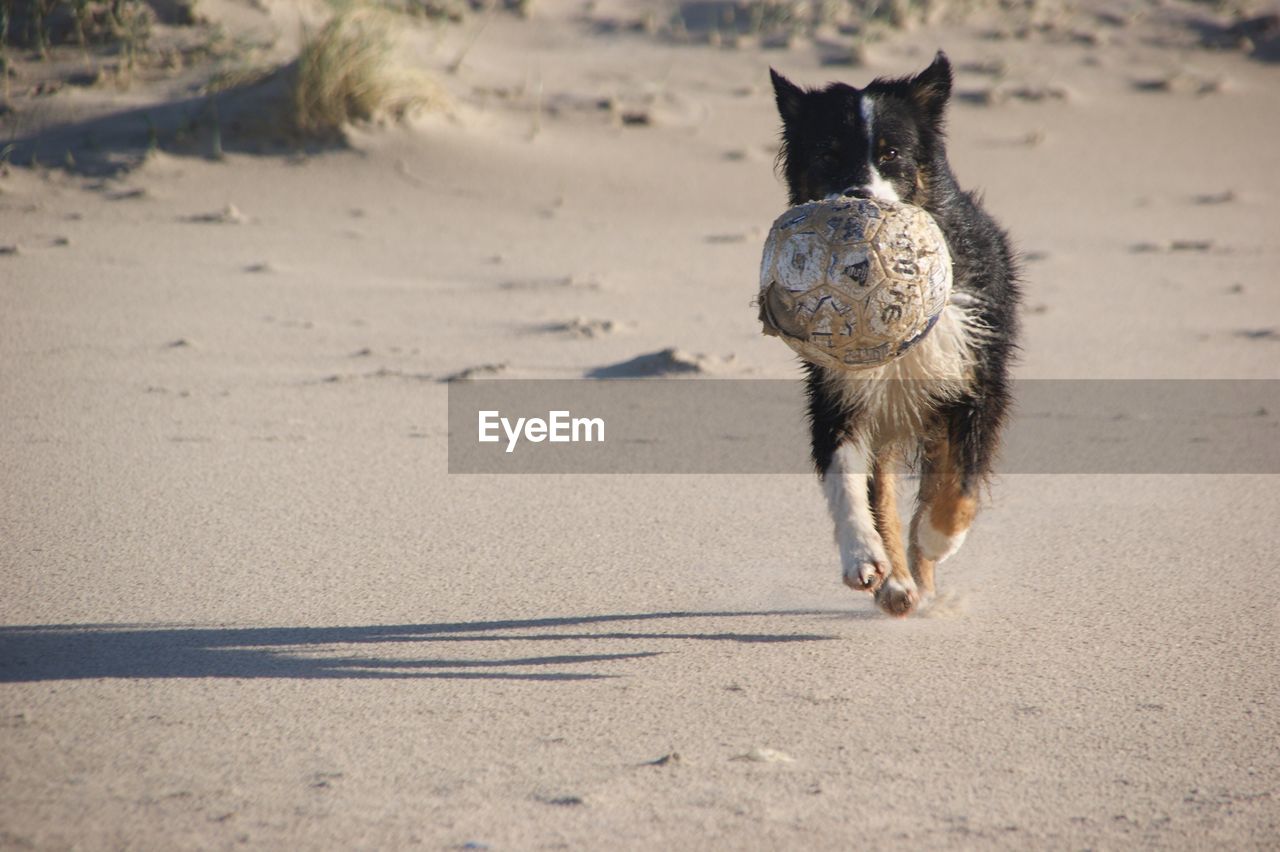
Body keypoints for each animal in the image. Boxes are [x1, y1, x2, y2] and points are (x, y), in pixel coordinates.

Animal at [762, 51, 1024, 611]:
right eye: (827, 154)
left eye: (891, 153)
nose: (859, 196)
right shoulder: (838, 391)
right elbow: (848, 483)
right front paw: (863, 558)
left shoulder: (975, 380)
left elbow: (960, 482)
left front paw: (937, 538)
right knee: (880, 487)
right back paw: (897, 583)